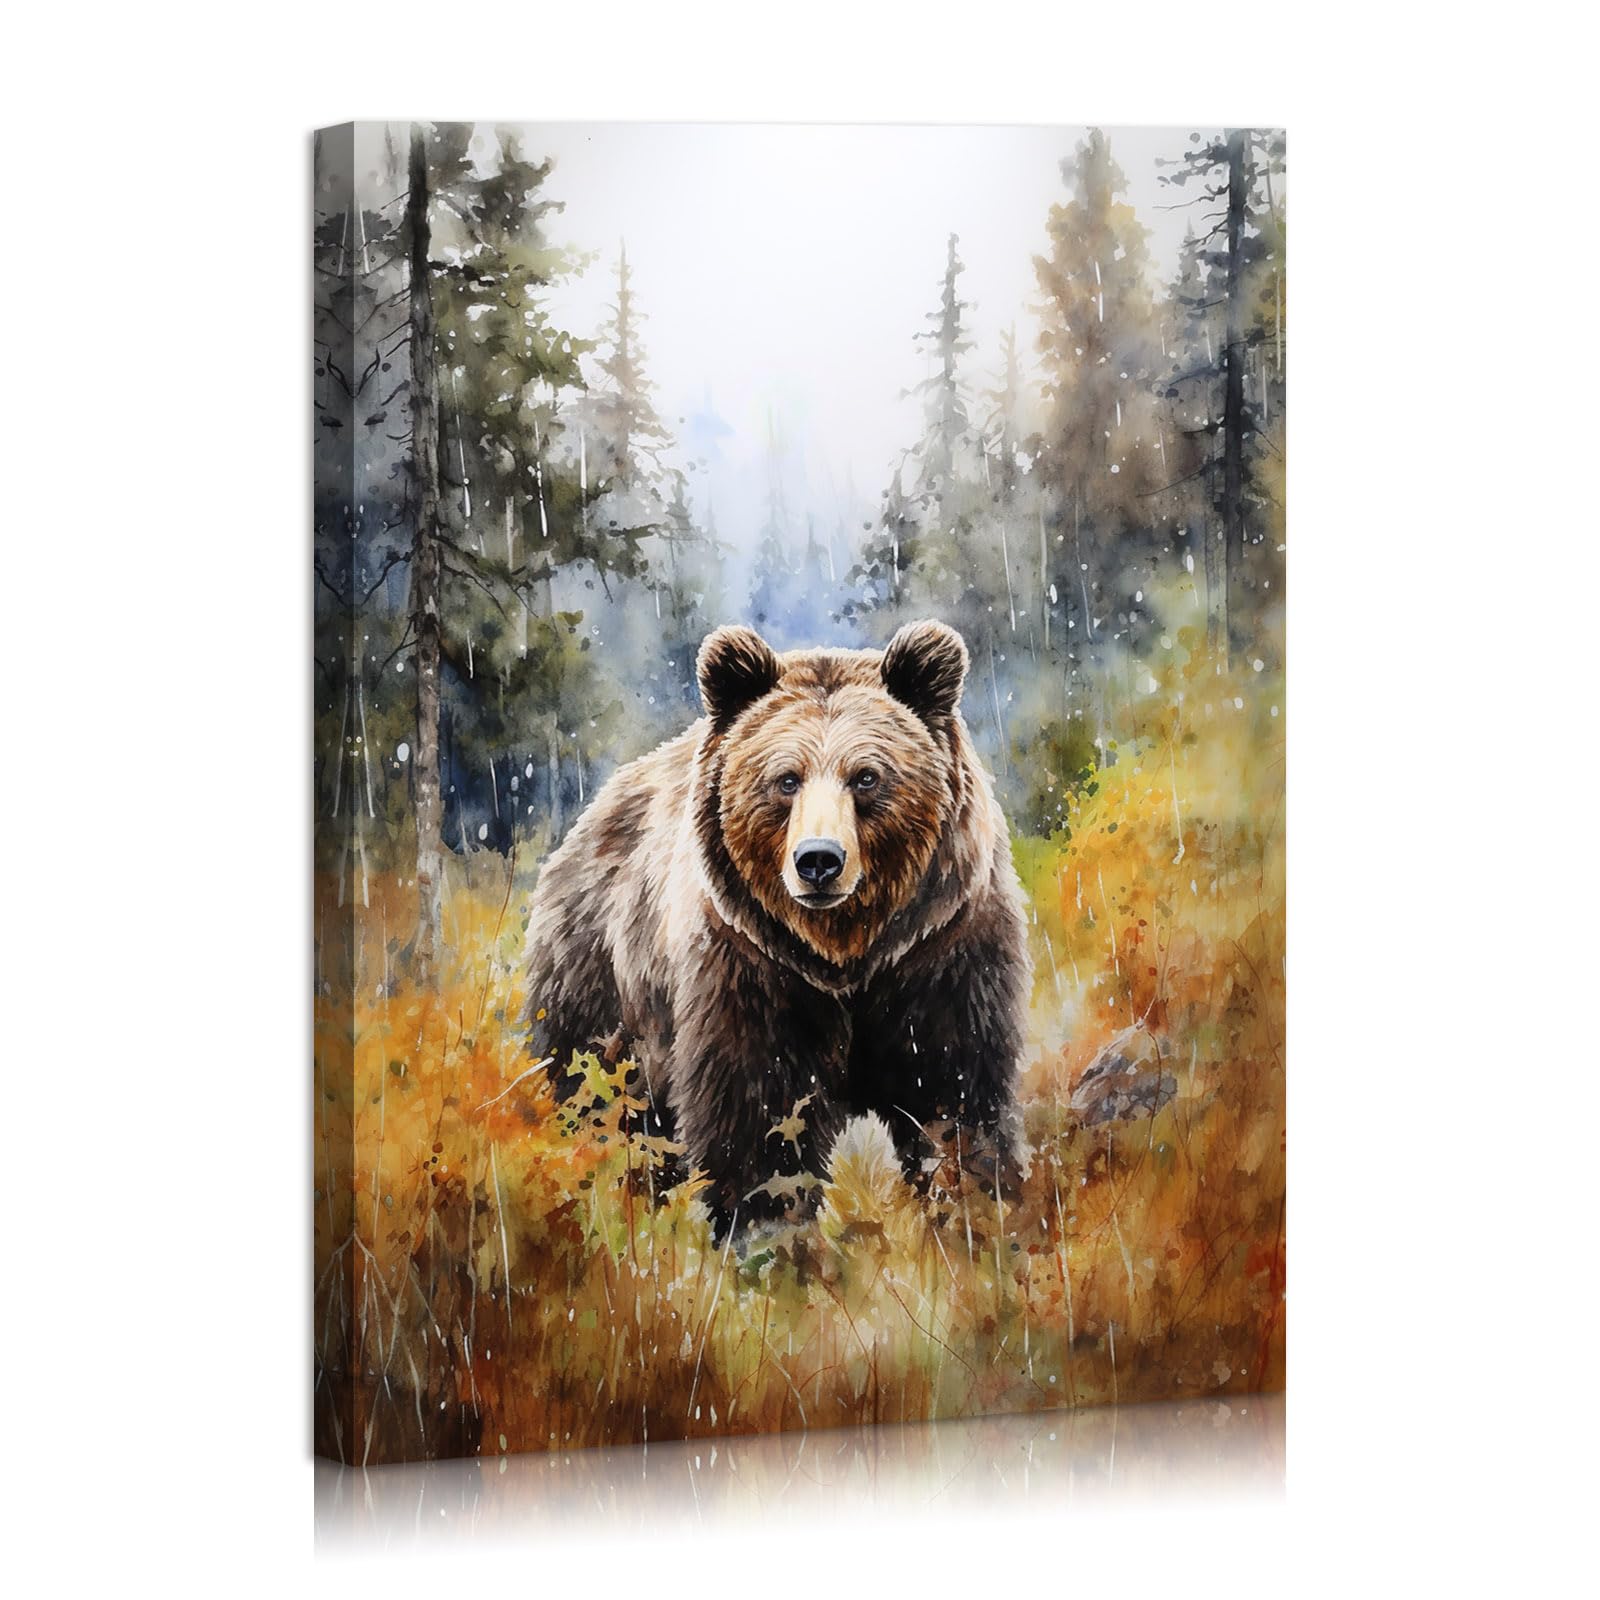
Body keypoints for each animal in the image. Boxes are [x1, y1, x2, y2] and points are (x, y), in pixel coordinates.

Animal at [523, 618, 1031, 1240]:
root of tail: (589, 818)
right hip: (600, 981)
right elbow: (759, 1114)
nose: (819, 860)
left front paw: (977, 1208)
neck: (845, 950)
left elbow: (953, 1089)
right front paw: (769, 1230)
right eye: (786, 780)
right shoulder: (749, 966)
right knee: (598, 1100)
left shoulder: (942, 950)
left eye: (867, 777)